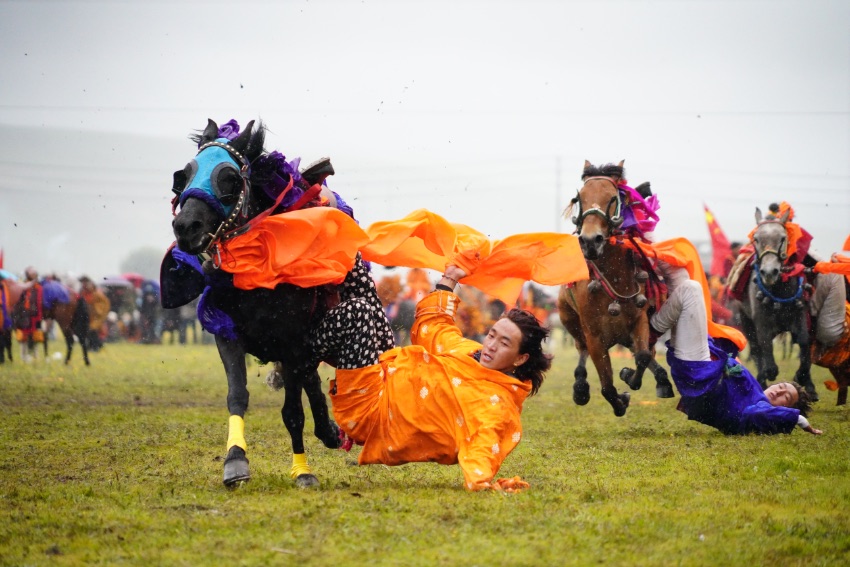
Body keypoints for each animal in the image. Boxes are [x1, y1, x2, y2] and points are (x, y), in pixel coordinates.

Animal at [166, 118, 358, 488]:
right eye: (185, 174)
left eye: (229, 177)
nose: (186, 227)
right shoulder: (227, 334)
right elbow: (237, 396)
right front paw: (235, 462)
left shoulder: (293, 341)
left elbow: (293, 412)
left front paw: (303, 472)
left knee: (309, 382)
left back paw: (329, 431)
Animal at [556, 161, 668, 418]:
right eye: (581, 198)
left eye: (612, 198)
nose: (590, 240)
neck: (615, 278)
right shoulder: (594, 335)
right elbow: (607, 386)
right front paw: (620, 401)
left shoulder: (639, 319)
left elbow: (643, 356)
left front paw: (629, 375)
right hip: (569, 319)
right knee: (581, 350)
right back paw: (580, 387)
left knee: (642, 352)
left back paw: (661, 379)